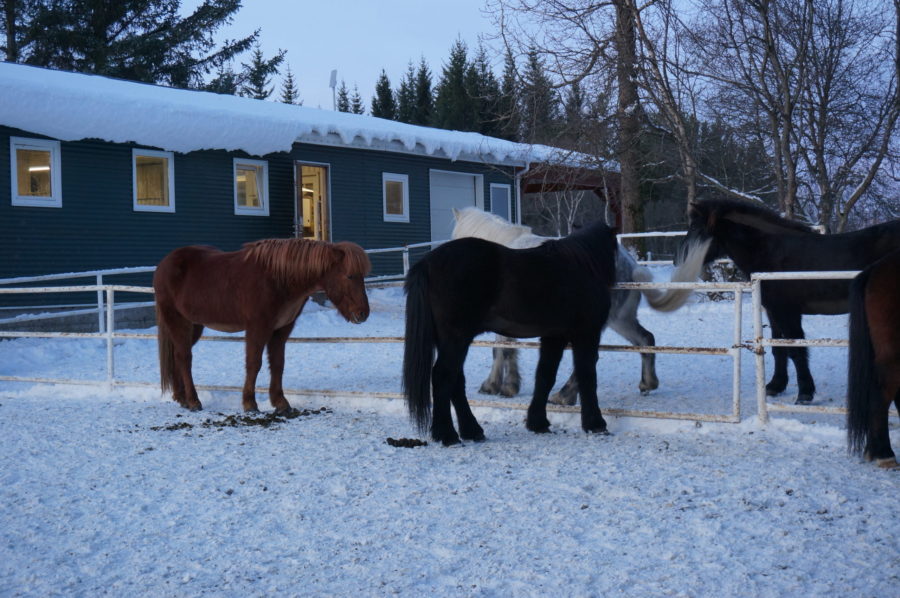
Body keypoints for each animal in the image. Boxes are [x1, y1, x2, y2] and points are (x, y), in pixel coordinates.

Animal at [153, 238, 371, 414]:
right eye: (349, 275)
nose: (363, 314)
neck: (278, 279)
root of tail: (164, 264)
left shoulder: (281, 330)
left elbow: (277, 364)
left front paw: (280, 402)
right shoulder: (257, 328)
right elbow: (254, 364)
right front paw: (250, 404)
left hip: (194, 325)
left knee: (177, 356)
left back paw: (181, 398)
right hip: (177, 320)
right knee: (185, 358)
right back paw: (193, 401)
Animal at [402, 219, 618, 446]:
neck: (581, 266)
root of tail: (427, 263)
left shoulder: (554, 336)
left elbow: (545, 375)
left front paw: (537, 423)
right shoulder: (586, 333)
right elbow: (587, 375)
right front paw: (595, 423)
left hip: (451, 340)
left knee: (456, 381)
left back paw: (472, 431)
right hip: (455, 338)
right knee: (443, 376)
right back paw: (448, 435)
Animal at [450, 206, 705, 405]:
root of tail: (629, 264)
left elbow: (500, 350)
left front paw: (496, 386)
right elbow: (506, 350)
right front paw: (507, 385)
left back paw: (563, 396)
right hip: (620, 320)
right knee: (645, 340)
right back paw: (647, 384)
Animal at [678, 198, 900, 404]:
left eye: (695, 228)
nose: (679, 259)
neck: (770, 251)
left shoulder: (787, 312)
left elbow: (796, 349)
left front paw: (805, 393)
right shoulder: (773, 311)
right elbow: (779, 348)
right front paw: (775, 385)